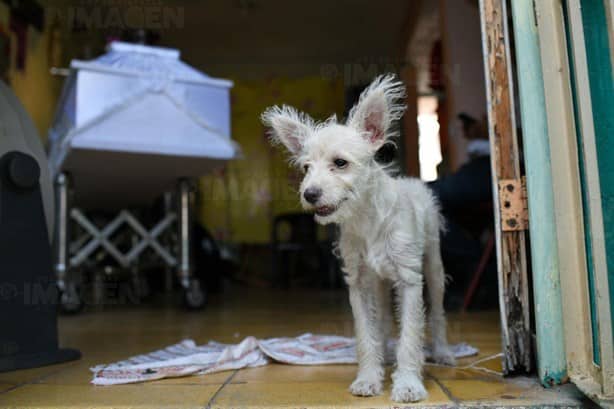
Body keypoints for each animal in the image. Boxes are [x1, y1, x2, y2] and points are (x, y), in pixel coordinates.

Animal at [262, 74, 454, 402]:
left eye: (340, 163)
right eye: (306, 168)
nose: (309, 194)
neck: (367, 219)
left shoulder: (409, 280)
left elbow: (411, 334)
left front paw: (408, 384)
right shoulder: (359, 283)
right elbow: (367, 333)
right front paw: (368, 377)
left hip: (433, 266)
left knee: (438, 313)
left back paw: (441, 351)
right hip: (379, 281)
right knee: (385, 320)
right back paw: (386, 353)